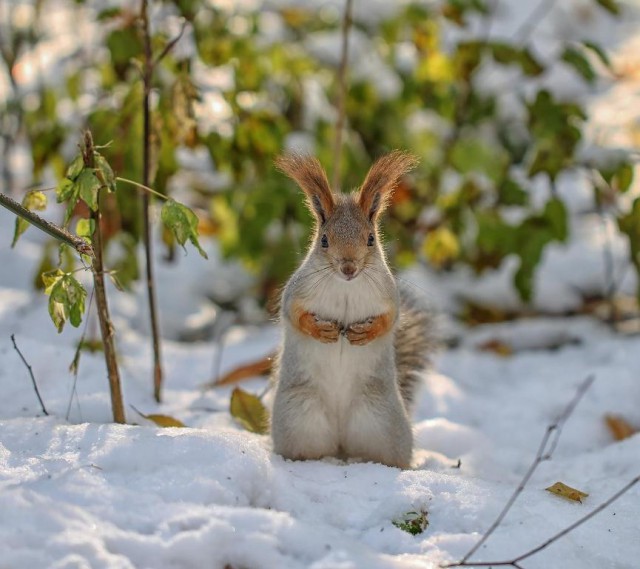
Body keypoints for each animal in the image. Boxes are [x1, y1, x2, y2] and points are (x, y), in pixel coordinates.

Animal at [270, 150, 436, 466]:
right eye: (324, 240)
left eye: (370, 238)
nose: (349, 267)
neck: (346, 286)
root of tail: (340, 445)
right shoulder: (296, 292)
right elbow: (293, 315)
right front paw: (320, 330)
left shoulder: (389, 297)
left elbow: (390, 319)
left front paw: (366, 333)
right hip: (300, 416)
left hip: (382, 421)